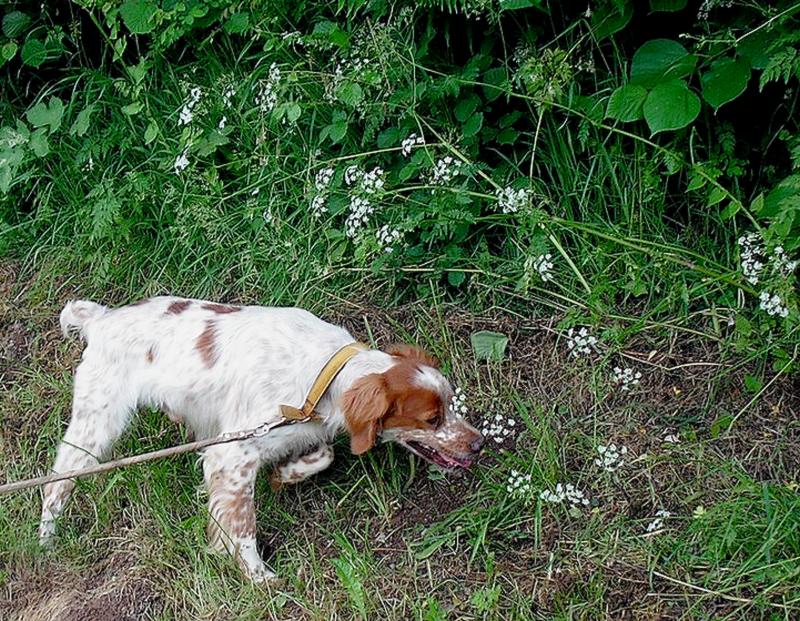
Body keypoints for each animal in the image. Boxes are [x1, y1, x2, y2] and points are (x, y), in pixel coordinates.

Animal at [40, 298, 484, 580]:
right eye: (432, 419)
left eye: (452, 404)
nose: (478, 444)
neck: (324, 377)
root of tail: (102, 319)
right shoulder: (232, 454)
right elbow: (242, 527)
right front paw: (258, 576)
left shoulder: (296, 429)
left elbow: (324, 453)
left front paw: (286, 474)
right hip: (93, 429)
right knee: (55, 484)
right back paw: (47, 539)